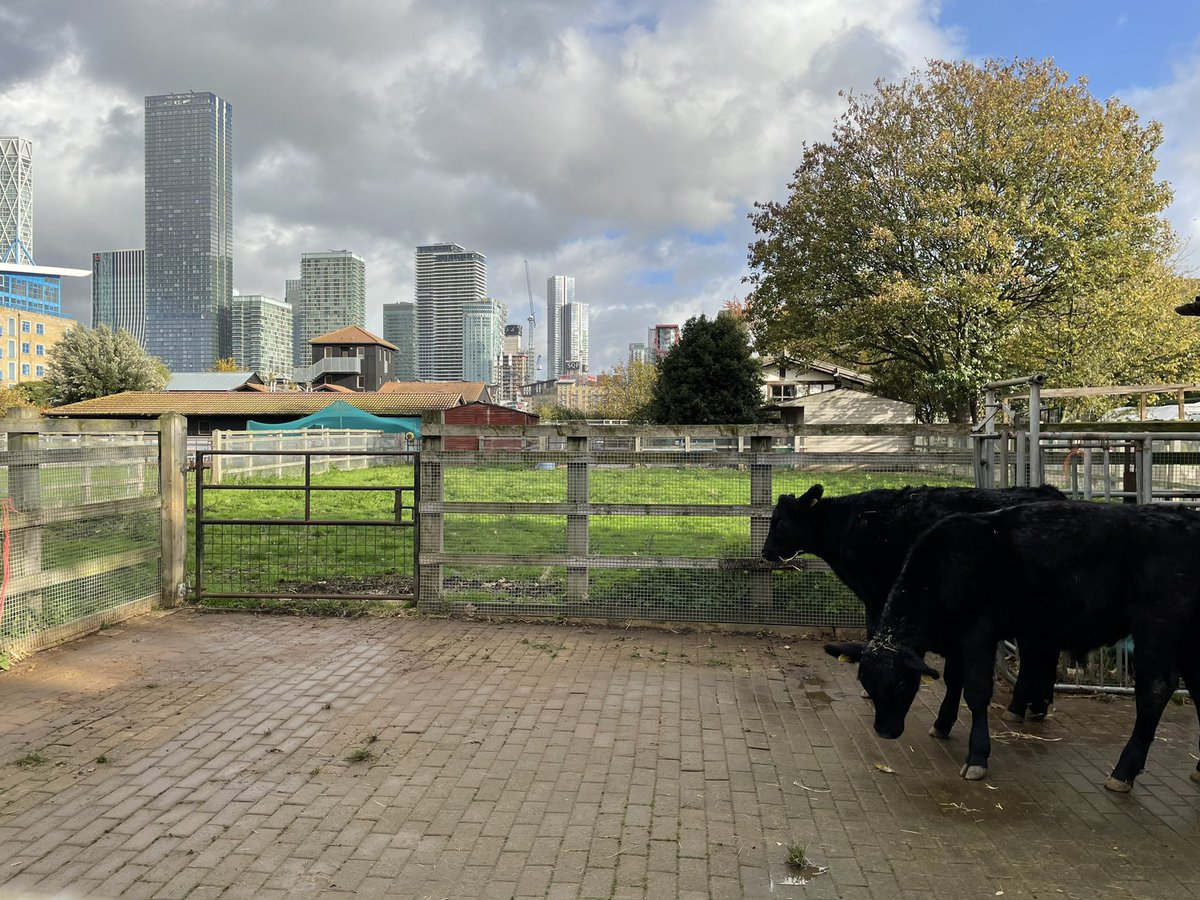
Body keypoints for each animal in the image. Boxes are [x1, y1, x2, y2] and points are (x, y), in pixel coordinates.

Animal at [763, 482, 1065, 729]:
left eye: (779, 522)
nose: (765, 552)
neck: (850, 524)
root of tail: (1049, 492)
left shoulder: (877, 596)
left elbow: (874, 634)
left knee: (1035, 651)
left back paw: (1020, 706)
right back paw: (1037, 705)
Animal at [840, 504, 1200, 792]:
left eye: (902, 683)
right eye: (866, 683)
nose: (885, 731)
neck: (947, 564)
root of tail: (1184, 518)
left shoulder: (978, 632)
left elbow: (976, 691)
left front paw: (977, 756)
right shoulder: (957, 639)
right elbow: (953, 680)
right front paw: (942, 724)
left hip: (1157, 627)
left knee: (1156, 689)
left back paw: (1123, 771)